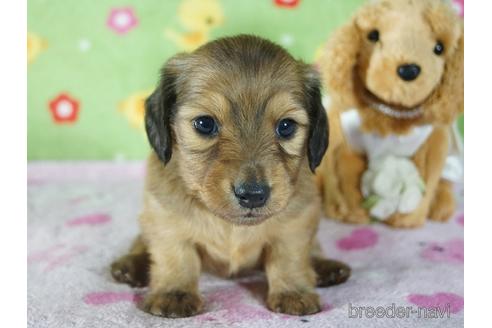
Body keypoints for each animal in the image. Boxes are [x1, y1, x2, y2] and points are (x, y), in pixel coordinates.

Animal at [111, 35, 350, 318]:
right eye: (205, 124)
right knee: (141, 242)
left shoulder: (297, 222)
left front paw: (293, 292)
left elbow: (289, 257)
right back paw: (131, 265)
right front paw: (175, 293)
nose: (253, 195)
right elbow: (176, 257)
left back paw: (325, 267)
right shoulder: (166, 218)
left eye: (286, 126)